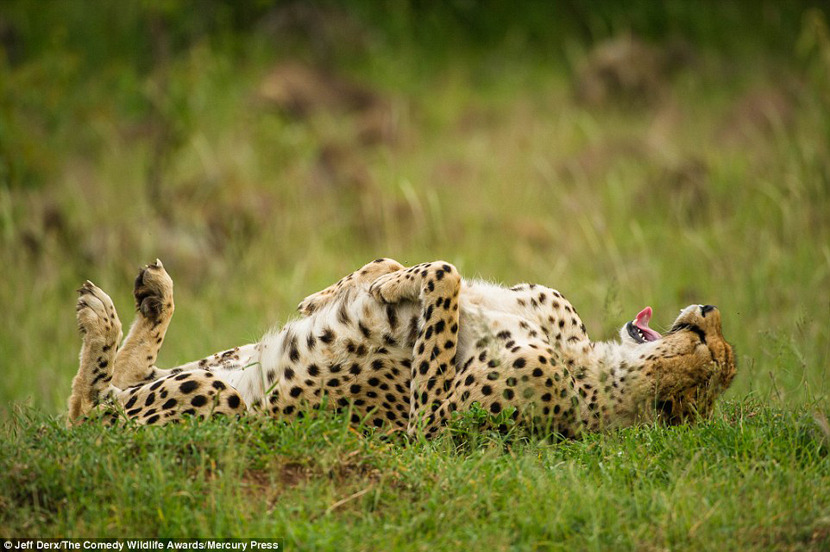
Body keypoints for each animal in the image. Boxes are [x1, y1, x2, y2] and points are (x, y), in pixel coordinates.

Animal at [68, 258, 736, 436]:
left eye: (714, 355)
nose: (708, 310)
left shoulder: (429, 426)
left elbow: (445, 274)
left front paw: (391, 290)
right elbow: (406, 265)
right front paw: (332, 296)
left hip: (223, 403)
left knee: (92, 414)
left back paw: (102, 321)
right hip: (220, 363)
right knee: (115, 387)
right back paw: (149, 297)